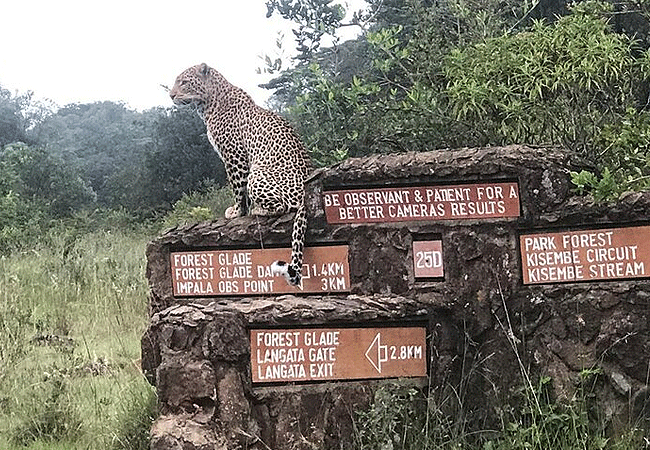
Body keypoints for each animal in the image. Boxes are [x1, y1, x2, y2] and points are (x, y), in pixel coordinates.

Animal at [170, 62, 312, 284]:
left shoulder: (234, 155)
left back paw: (258, 210)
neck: (208, 105)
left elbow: (237, 187)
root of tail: (305, 192)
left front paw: (237, 212)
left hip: (258, 174)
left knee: (283, 206)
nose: (171, 95)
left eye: (184, 82)